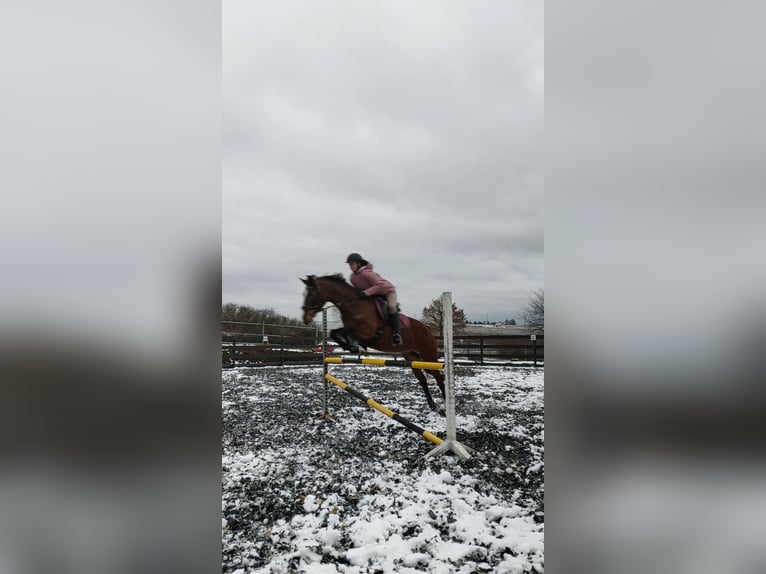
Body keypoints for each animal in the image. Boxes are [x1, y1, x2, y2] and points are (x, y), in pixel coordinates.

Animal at [298, 274, 444, 414]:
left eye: (311, 294)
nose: (305, 318)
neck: (353, 304)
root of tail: (428, 330)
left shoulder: (367, 332)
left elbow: (348, 332)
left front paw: (355, 346)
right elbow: (334, 332)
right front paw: (352, 347)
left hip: (428, 355)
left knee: (439, 377)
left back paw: (444, 405)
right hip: (412, 357)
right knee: (423, 379)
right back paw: (432, 405)